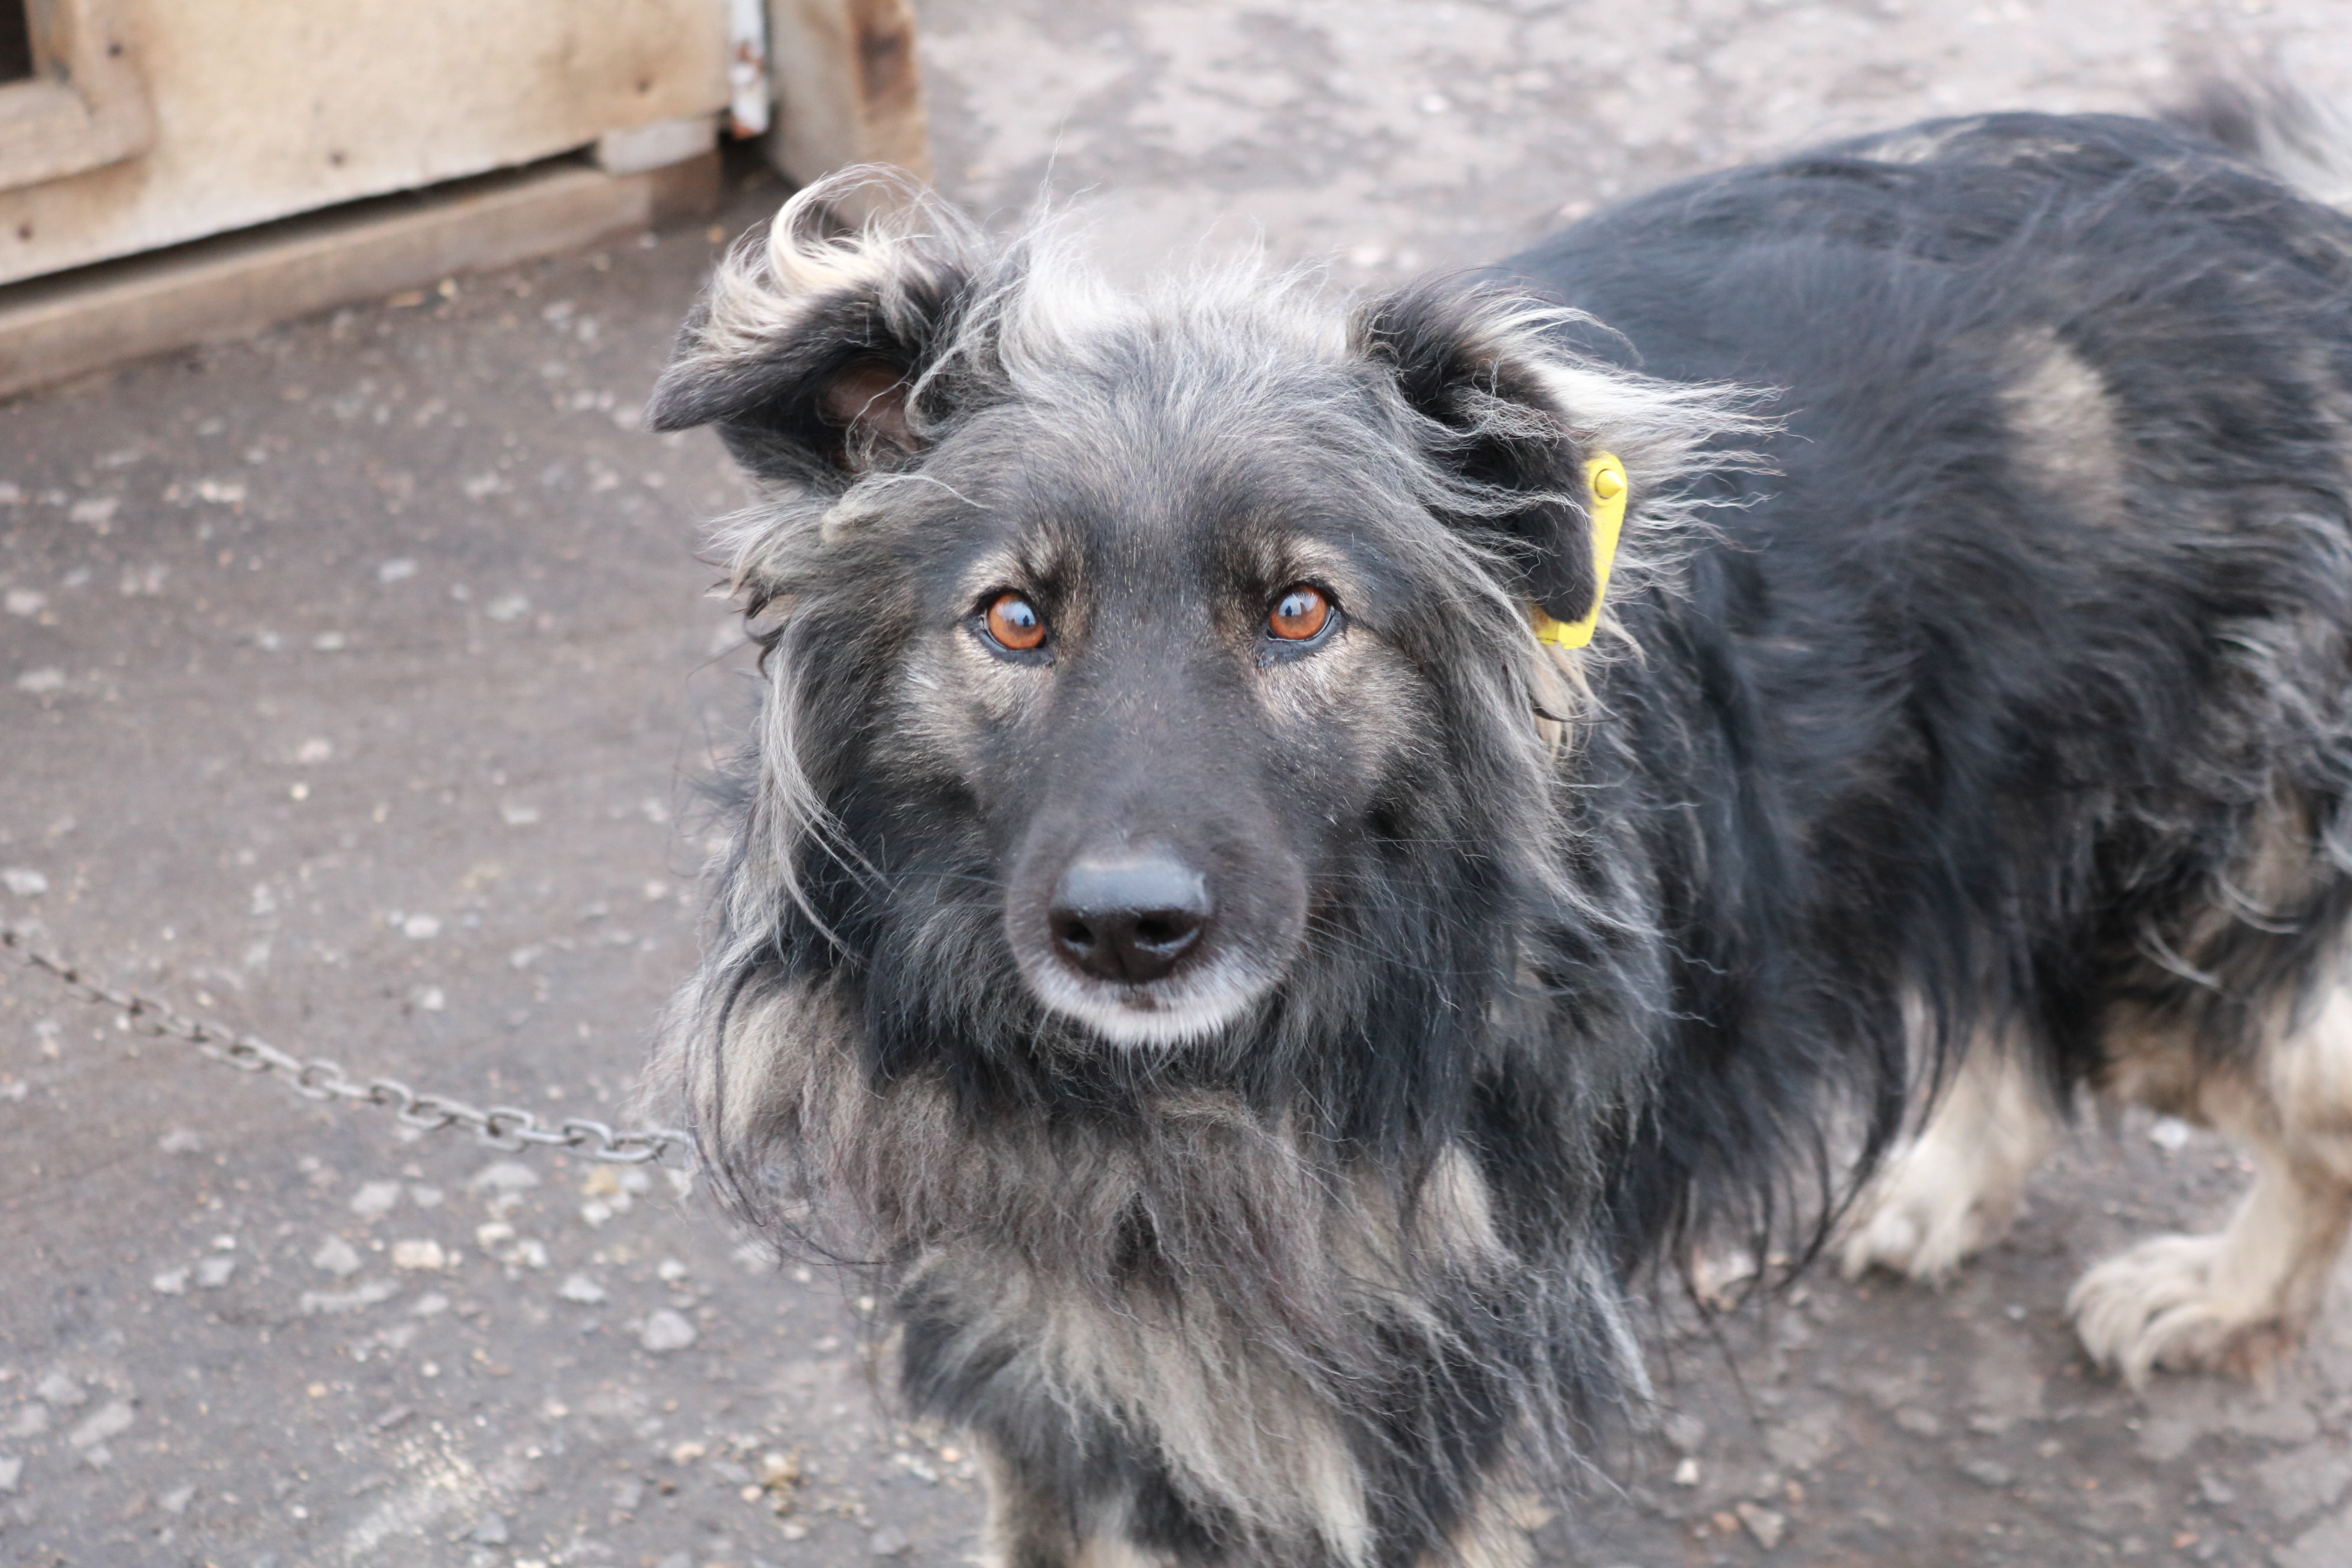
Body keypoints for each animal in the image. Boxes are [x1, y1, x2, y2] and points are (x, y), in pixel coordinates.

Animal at [649, 83, 2352, 1568]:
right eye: (1012, 619)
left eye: (1301, 611)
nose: (1128, 932)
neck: (1173, 1110)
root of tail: (2283, 213)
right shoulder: (1050, 1380)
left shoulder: (1404, 1427)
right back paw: (1946, 1187)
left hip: (2194, 916)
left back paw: (2215, 1294)